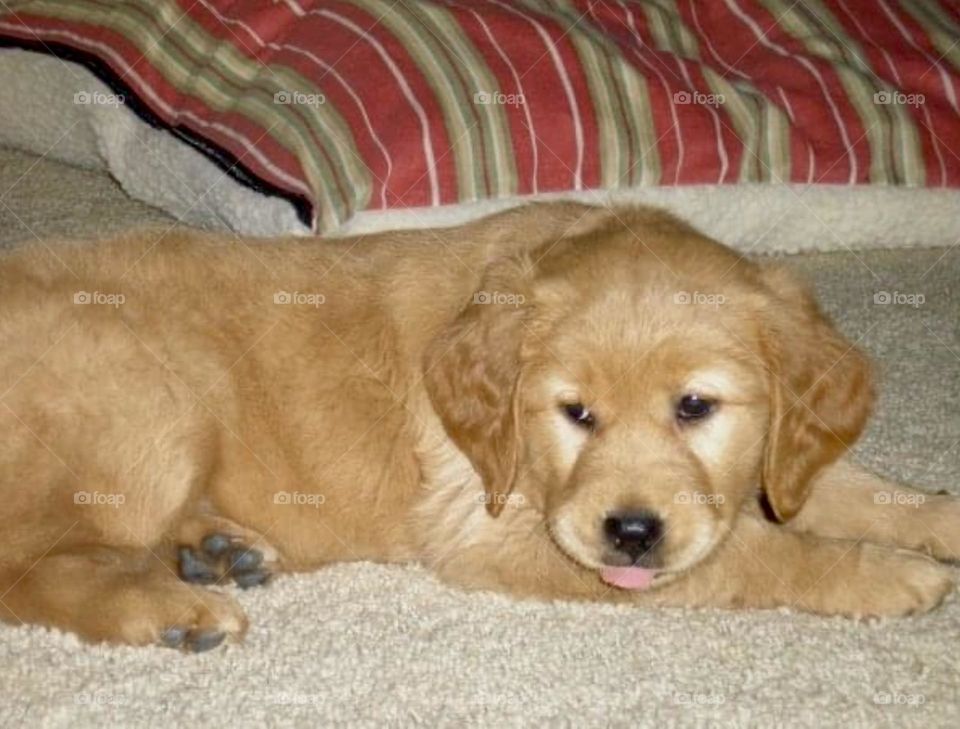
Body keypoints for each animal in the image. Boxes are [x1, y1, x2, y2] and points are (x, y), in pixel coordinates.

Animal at [0, 202, 952, 652]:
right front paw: (882, 574)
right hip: (156, 396)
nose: (631, 533)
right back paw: (166, 605)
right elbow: (753, 552)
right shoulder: (491, 532)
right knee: (26, 566)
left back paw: (218, 549)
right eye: (575, 413)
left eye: (696, 407)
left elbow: (845, 486)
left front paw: (936, 517)